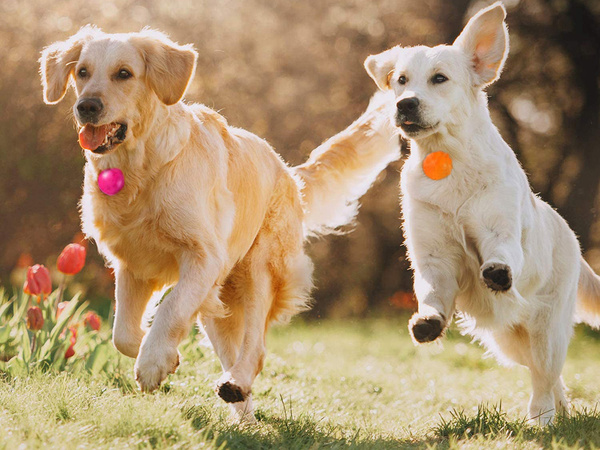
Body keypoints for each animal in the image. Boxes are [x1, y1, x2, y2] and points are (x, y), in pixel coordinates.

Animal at [364, 2, 600, 426]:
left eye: (439, 78)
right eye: (401, 80)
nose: (405, 103)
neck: (448, 160)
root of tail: (571, 236)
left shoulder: (499, 230)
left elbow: (501, 253)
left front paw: (497, 271)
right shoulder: (433, 255)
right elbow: (430, 290)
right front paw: (428, 321)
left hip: (546, 330)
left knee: (544, 377)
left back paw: (543, 419)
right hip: (510, 340)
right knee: (548, 377)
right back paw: (562, 411)